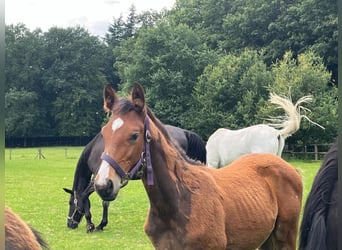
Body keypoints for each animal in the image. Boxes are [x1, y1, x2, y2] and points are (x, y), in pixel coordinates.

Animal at [64, 118, 206, 232]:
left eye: (70, 203)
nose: (70, 223)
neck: (95, 150)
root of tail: (184, 132)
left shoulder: (100, 179)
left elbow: (84, 195)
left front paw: (90, 224)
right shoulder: (108, 182)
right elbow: (105, 202)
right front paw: (101, 224)